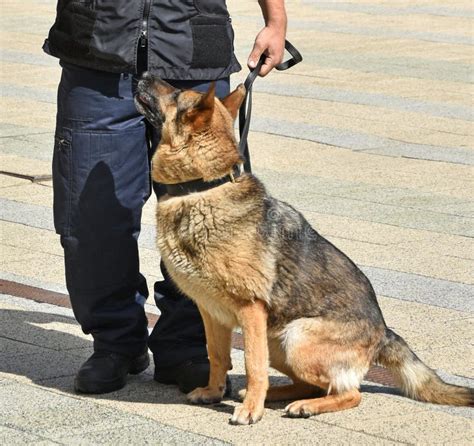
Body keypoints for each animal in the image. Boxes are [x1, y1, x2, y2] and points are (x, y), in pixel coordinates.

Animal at [134, 72, 474, 426]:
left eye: (176, 94)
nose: (144, 74)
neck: (202, 188)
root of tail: (384, 333)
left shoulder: (250, 309)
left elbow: (252, 364)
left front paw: (251, 411)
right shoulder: (212, 312)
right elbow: (218, 356)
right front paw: (215, 392)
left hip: (295, 338)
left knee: (349, 392)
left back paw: (299, 405)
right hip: (278, 341)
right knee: (311, 385)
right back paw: (280, 397)